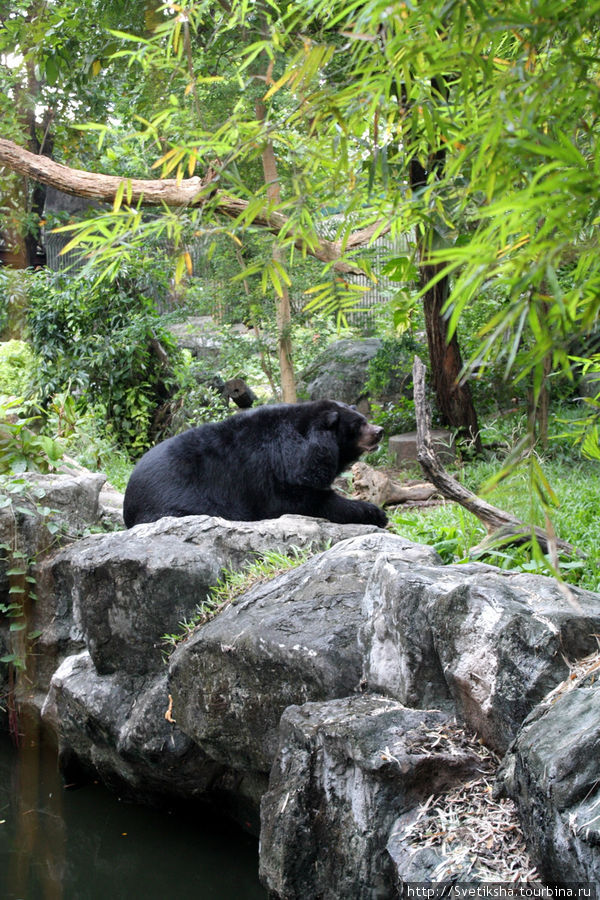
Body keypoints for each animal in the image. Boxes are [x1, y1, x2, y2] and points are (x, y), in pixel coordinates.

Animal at [123, 400, 386, 528]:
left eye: (364, 419)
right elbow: (308, 502)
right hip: (173, 501)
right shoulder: (275, 475)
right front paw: (376, 513)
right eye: (358, 425)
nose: (379, 431)